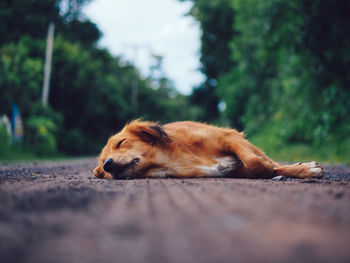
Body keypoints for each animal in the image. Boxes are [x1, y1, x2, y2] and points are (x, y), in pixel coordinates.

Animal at [93, 120, 322, 180]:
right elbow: (257, 166)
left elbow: (257, 163)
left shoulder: (229, 137)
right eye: (103, 165)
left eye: (121, 142)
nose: (109, 164)